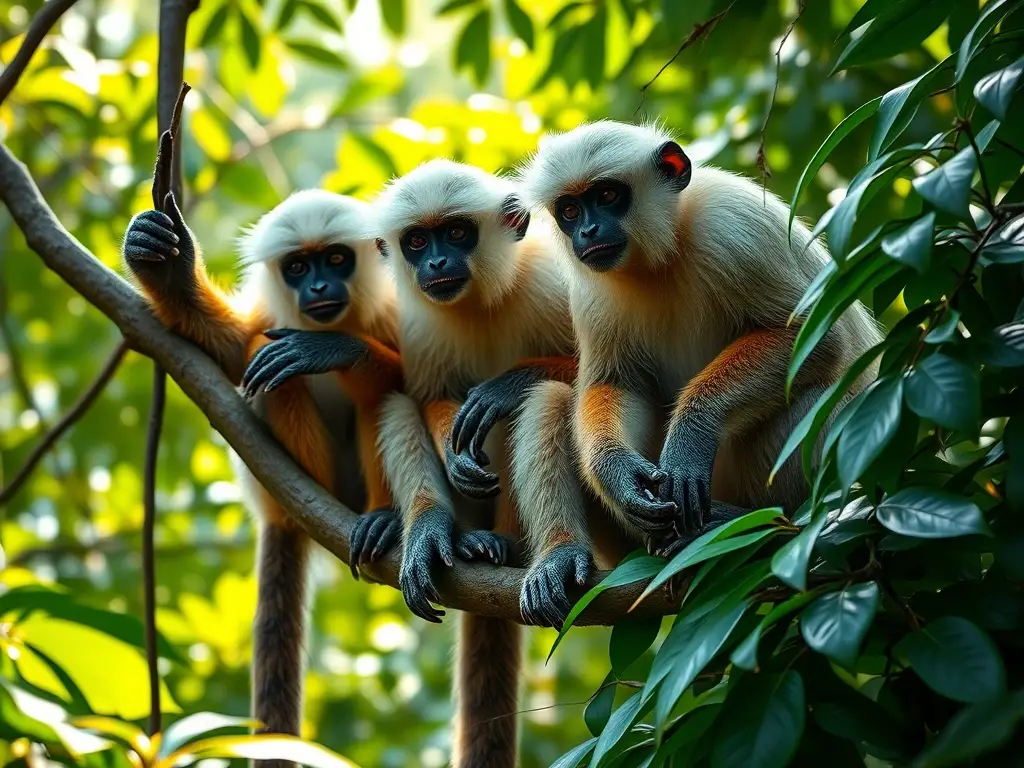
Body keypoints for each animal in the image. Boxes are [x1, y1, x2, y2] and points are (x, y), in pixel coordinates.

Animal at [122, 189, 404, 760]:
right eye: (297, 268)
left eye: (336, 259)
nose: (318, 287)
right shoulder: (272, 314)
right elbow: (235, 350)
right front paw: (168, 270)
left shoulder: (389, 315)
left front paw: (334, 351)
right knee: (262, 357)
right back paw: (299, 479)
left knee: (377, 397)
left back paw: (382, 517)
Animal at [249, 159, 577, 768]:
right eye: (418, 242)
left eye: (456, 233)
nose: (437, 263)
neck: (479, 304)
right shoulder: (419, 325)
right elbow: (426, 398)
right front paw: (451, 448)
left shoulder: (553, 285)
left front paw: (503, 387)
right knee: (396, 403)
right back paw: (436, 534)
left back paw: (505, 544)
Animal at [453, 120, 884, 628]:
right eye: (570, 210)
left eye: (608, 195)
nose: (588, 231)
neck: (659, 257)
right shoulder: (589, 287)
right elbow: (615, 383)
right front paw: (618, 474)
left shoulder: (736, 225)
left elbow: (813, 337)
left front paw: (690, 437)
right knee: (551, 398)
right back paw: (560, 556)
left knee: (819, 392)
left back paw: (745, 521)